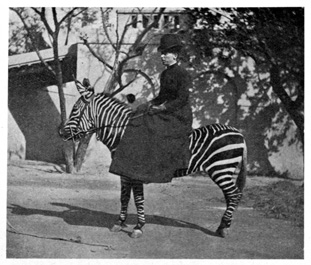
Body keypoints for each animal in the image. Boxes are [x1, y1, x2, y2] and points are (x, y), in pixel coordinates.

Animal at [59, 80, 247, 237]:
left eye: (74, 110)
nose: (61, 133)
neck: (123, 133)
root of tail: (239, 133)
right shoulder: (125, 173)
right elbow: (124, 197)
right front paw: (120, 223)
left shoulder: (135, 172)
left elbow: (138, 199)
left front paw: (138, 227)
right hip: (222, 170)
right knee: (231, 195)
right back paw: (223, 226)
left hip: (220, 169)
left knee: (235, 194)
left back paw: (223, 228)